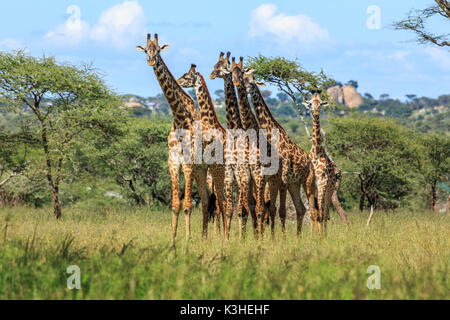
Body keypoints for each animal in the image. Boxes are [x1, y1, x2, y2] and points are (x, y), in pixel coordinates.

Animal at [135, 35, 211, 240]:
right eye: (146, 50)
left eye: (158, 50)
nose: (151, 61)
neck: (179, 117)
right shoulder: (173, 160)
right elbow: (176, 204)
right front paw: (173, 237)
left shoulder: (188, 162)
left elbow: (187, 205)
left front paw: (187, 238)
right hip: (201, 171)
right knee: (208, 201)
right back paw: (205, 236)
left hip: (210, 170)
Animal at [208, 52, 255, 238]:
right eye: (215, 64)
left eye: (223, 66)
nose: (211, 74)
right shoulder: (229, 176)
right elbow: (229, 210)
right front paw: (226, 239)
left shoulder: (243, 175)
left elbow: (241, 211)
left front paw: (241, 240)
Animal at [243, 68, 320, 232]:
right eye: (243, 78)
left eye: (251, 82)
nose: (244, 89)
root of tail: (310, 162)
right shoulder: (274, 179)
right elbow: (269, 208)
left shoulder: (282, 178)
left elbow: (280, 210)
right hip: (294, 184)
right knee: (301, 208)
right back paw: (299, 235)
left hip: (308, 182)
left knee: (314, 210)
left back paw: (317, 236)